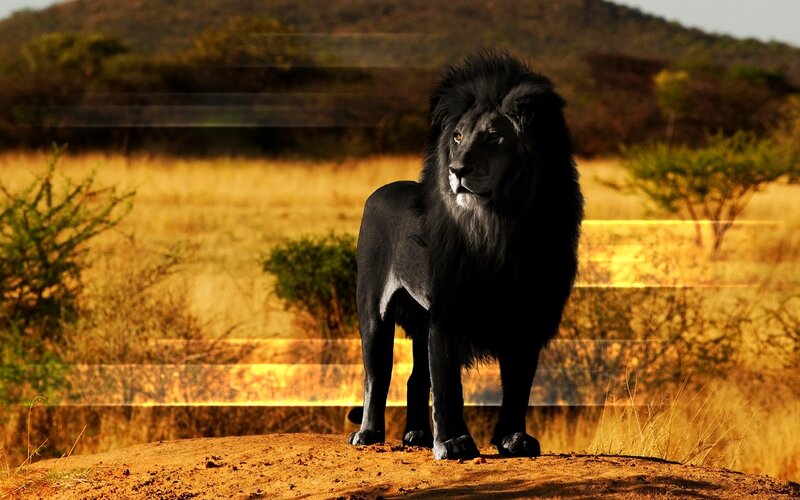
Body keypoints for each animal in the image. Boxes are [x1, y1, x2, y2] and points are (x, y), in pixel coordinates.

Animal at [348, 51, 584, 460]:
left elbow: (518, 386)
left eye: (493, 136)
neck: (501, 225)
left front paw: (513, 440)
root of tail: (380, 190)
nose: (457, 169)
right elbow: (448, 386)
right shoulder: (448, 311)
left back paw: (416, 435)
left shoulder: (528, 317)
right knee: (377, 374)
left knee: (414, 379)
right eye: (457, 137)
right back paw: (369, 434)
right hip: (374, 308)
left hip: (420, 319)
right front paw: (455, 443)